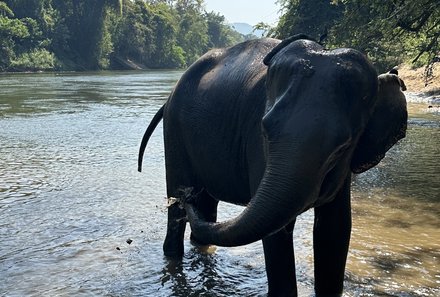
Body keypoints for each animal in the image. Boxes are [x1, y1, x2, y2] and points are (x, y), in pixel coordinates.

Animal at [139, 35, 408, 296]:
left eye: (343, 147)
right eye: (265, 130)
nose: (185, 195)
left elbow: (335, 228)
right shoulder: (258, 147)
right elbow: (279, 232)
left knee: (206, 206)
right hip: (174, 132)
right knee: (178, 210)